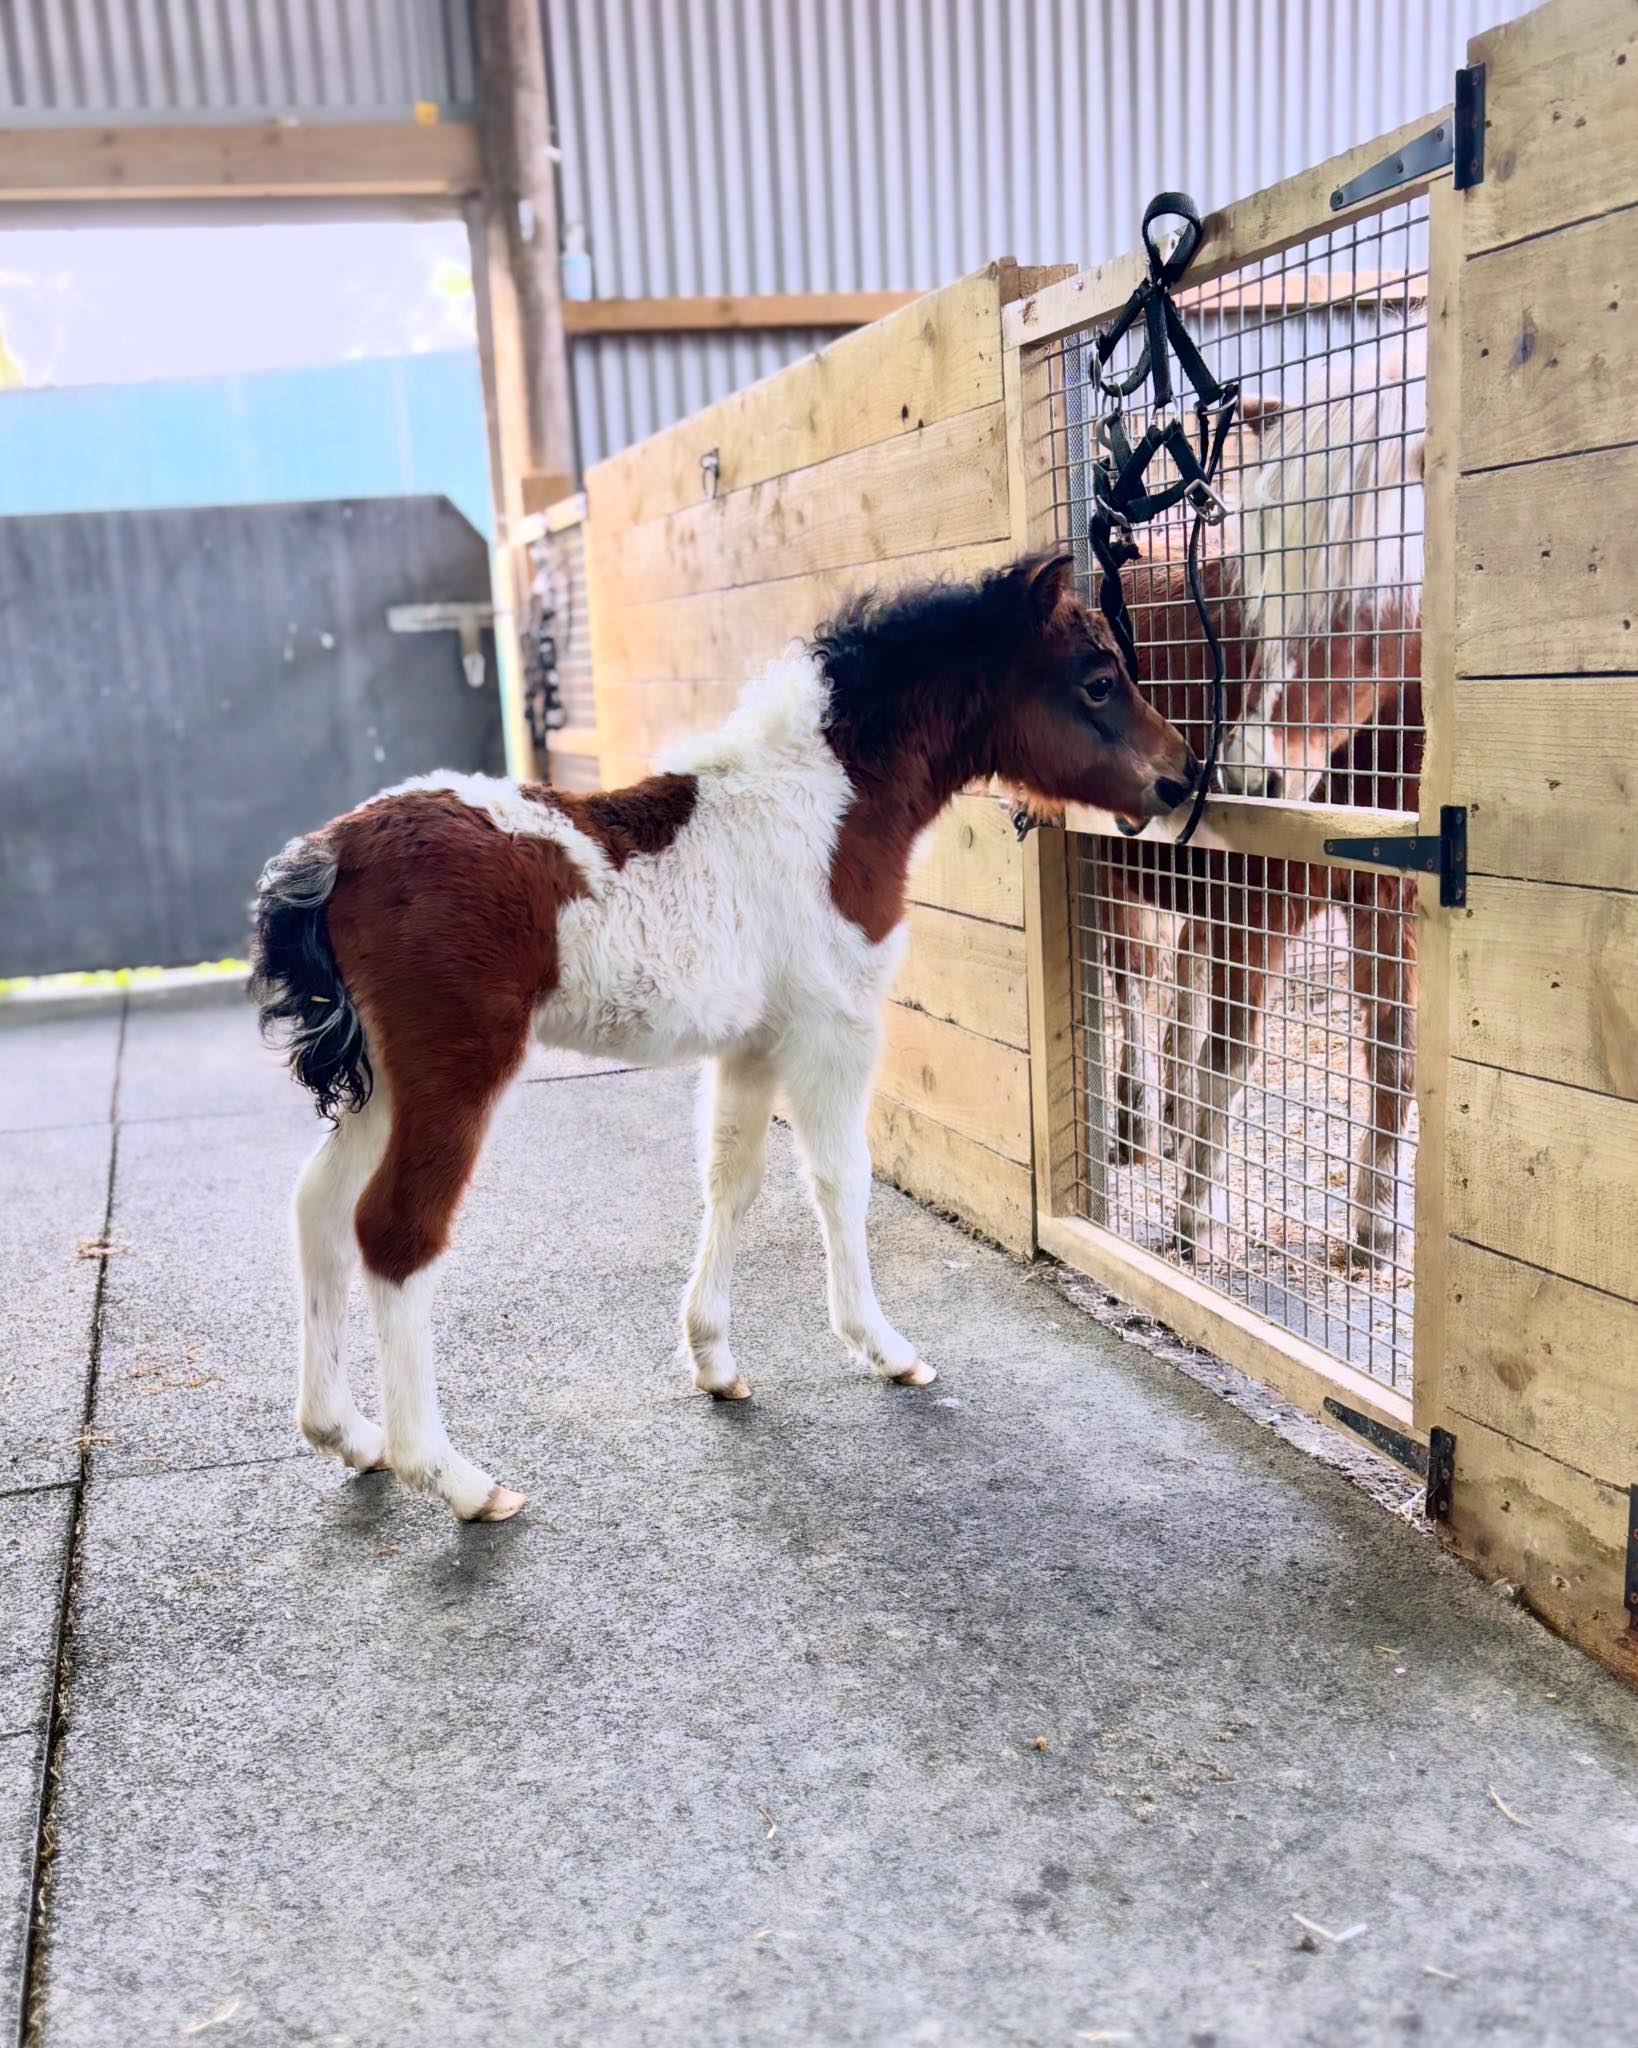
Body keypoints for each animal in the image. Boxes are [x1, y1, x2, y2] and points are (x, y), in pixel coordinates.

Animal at [251, 555, 1199, 1521]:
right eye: (1098, 681)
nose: (1182, 775)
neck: (826, 805)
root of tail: (330, 855)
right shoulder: (834, 1028)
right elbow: (839, 1179)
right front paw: (883, 1348)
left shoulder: (753, 1043)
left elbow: (729, 1181)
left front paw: (714, 1360)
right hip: (456, 1070)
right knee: (395, 1232)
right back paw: (455, 1478)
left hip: (387, 1081)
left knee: (318, 1208)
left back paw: (346, 1433)